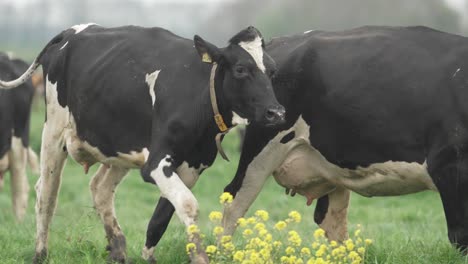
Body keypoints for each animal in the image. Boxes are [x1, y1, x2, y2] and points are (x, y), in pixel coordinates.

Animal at [0, 23, 286, 262]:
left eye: (272, 71)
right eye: (241, 69)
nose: (277, 112)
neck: (197, 92)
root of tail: (71, 31)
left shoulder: (192, 165)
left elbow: (162, 216)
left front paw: (149, 256)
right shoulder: (157, 163)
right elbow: (188, 205)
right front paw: (200, 257)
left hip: (120, 147)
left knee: (100, 189)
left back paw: (117, 248)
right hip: (54, 132)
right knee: (46, 194)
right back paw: (41, 253)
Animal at [219, 26, 468, 252]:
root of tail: (279, 42)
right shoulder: (449, 164)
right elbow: (460, 235)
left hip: (329, 166)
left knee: (329, 218)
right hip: (261, 148)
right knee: (234, 200)